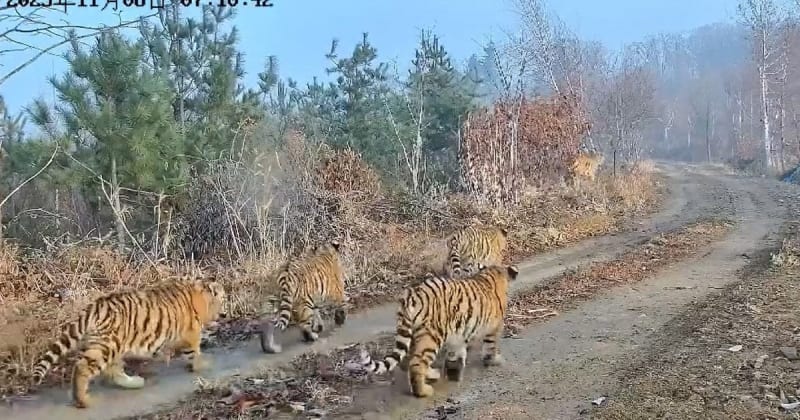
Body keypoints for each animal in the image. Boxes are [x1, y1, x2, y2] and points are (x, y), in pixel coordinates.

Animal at [30, 279, 226, 409]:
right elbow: (195, 353)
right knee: (82, 368)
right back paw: (84, 401)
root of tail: (95, 306)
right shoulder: (190, 335)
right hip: (107, 347)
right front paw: (205, 364)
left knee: (112, 371)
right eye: (223, 299)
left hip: (112, 347)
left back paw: (135, 382)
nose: (224, 313)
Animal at [349, 264, 519, 398]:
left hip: (414, 333)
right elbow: (491, 346)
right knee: (416, 363)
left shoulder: (458, 334)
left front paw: (454, 368)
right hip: (432, 335)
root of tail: (413, 294)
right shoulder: (494, 327)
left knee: (407, 361)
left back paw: (431, 375)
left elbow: (457, 351)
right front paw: (495, 360)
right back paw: (423, 391)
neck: (492, 274)